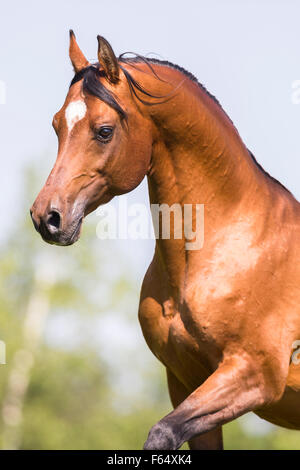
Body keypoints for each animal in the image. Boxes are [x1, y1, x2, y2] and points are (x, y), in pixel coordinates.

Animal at [30, 31, 300, 450]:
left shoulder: (254, 374)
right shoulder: (185, 381)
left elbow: (161, 434)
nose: (47, 217)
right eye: (57, 124)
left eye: (104, 130)